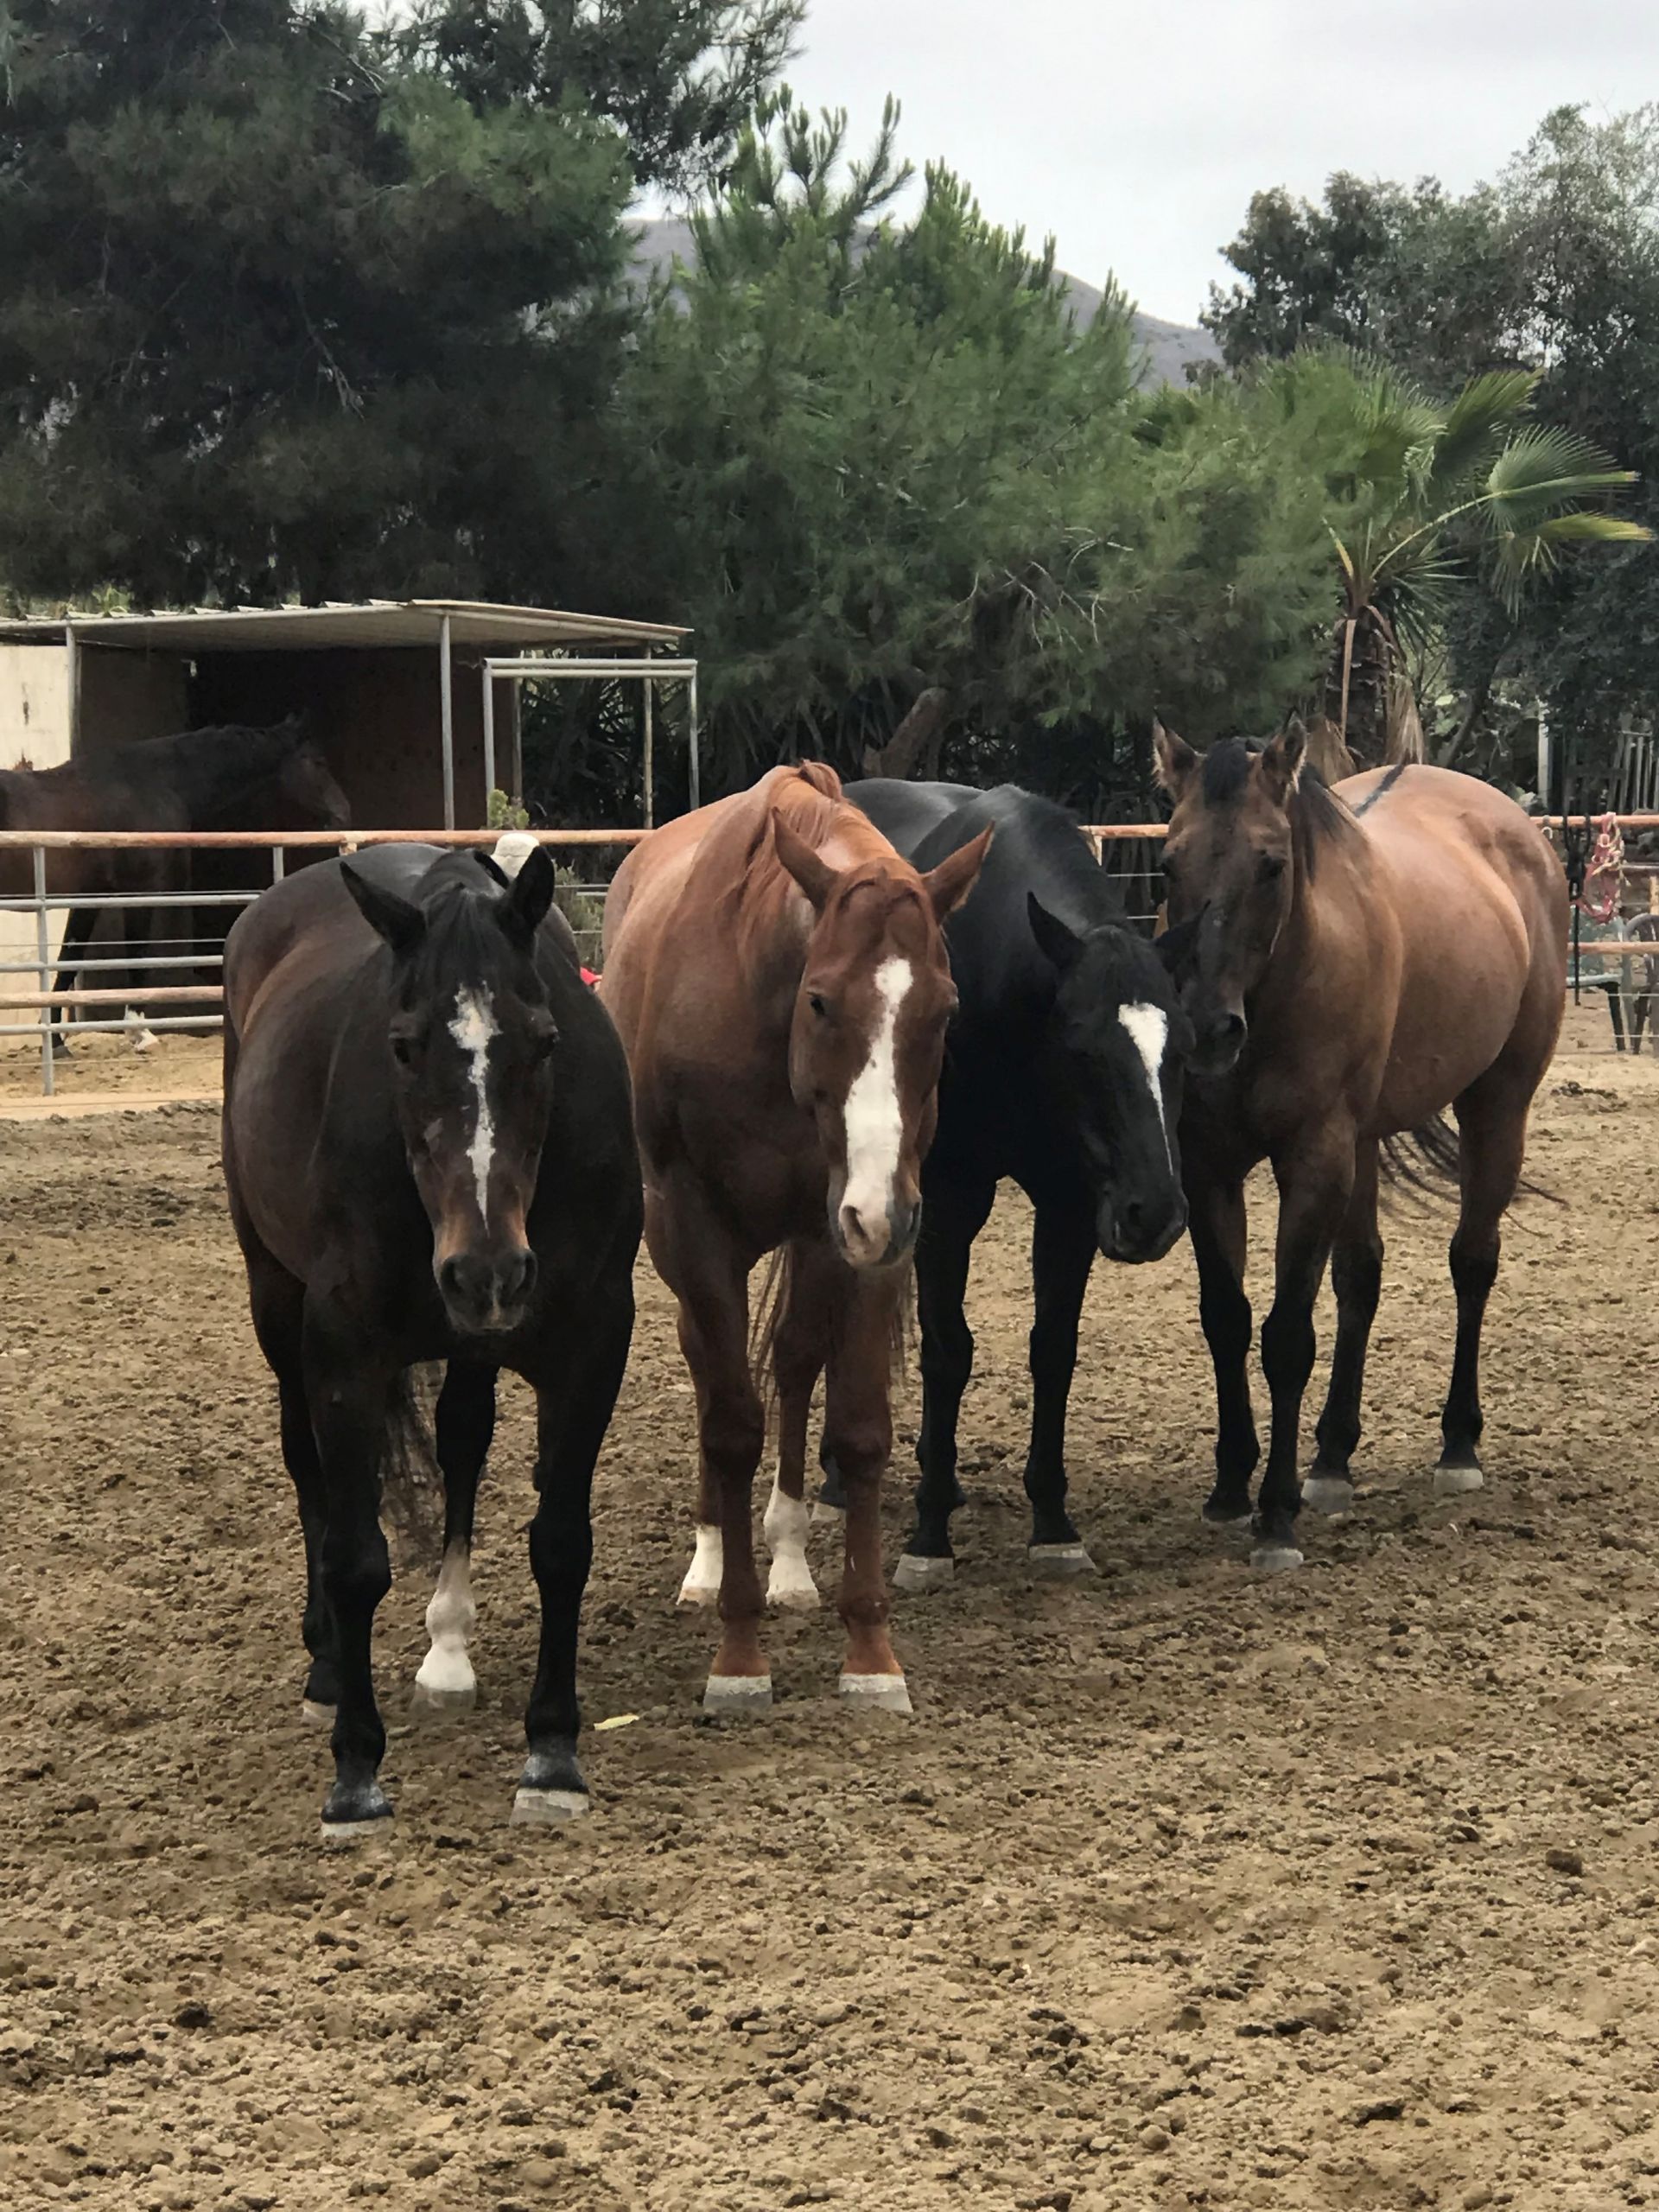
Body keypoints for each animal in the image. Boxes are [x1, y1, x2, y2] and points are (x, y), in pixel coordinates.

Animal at [0, 719, 350, 1049]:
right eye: (318, 761)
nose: (344, 814)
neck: (150, 784)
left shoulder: (91, 897)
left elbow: (67, 961)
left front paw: (57, 1043)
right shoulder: (139, 890)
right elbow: (137, 954)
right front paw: (140, 1032)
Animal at [221, 835, 641, 1836]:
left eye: (546, 1040)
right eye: (404, 1047)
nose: (487, 1269)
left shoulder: (594, 1344)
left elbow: (560, 1542)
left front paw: (553, 1753)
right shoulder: (341, 1351)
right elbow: (355, 1555)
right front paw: (355, 1770)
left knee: (461, 1442)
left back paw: (448, 1650)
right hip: (275, 1299)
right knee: (306, 1471)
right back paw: (327, 1669)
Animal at [600, 762, 990, 1714]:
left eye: (945, 1009)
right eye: (821, 1001)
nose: (882, 1214)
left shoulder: (860, 1230)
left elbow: (855, 1425)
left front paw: (871, 1650)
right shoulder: (697, 1229)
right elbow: (731, 1425)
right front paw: (739, 1653)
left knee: (792, 1359)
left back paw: (785, 1557)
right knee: (712, 1373)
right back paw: (711, 1558)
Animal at [842, 780, 1192, 1587]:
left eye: (1182, 1053)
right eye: (1084, 1049)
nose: (1154, 1213)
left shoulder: (1070, 1205)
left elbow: (1052, 1349)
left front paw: (1053, 1523)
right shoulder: (947, 1204)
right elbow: (949, 1351)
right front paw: (929, 1536)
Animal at [1155, 722, 1567, 1570]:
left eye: (1271, 863)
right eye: (1171, 862)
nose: (1207, 1029)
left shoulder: (1315, 1162)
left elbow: (1285, 1336)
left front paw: (1275, 1516)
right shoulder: (1212, 1167)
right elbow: (1228, 1319)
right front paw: (1231, 1487)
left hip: (1497, 1107)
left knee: (1473, 1261)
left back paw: (1458, 1446)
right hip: (1367, 1144)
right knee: (1361, 1279)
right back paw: (1333, 1458)